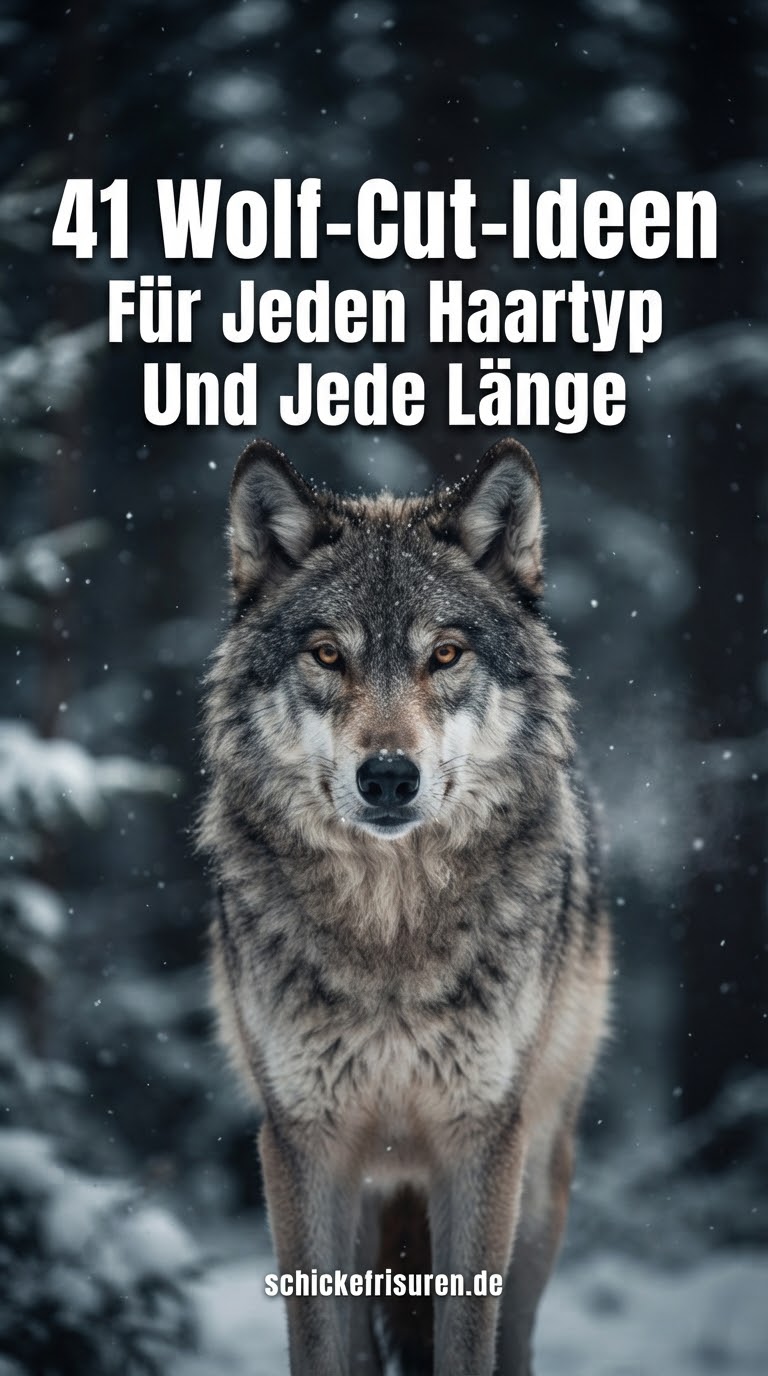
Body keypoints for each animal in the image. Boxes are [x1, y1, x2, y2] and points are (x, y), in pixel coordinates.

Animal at [199, 436, 610, 1376]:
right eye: (327, 655)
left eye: (445, 655)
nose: (388, 776)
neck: (390, 934)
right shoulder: (303, 1144)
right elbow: (320, 1346)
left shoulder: (483, 1141)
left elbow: (467, 1341)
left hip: (541, 1182)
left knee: (516, 1335)